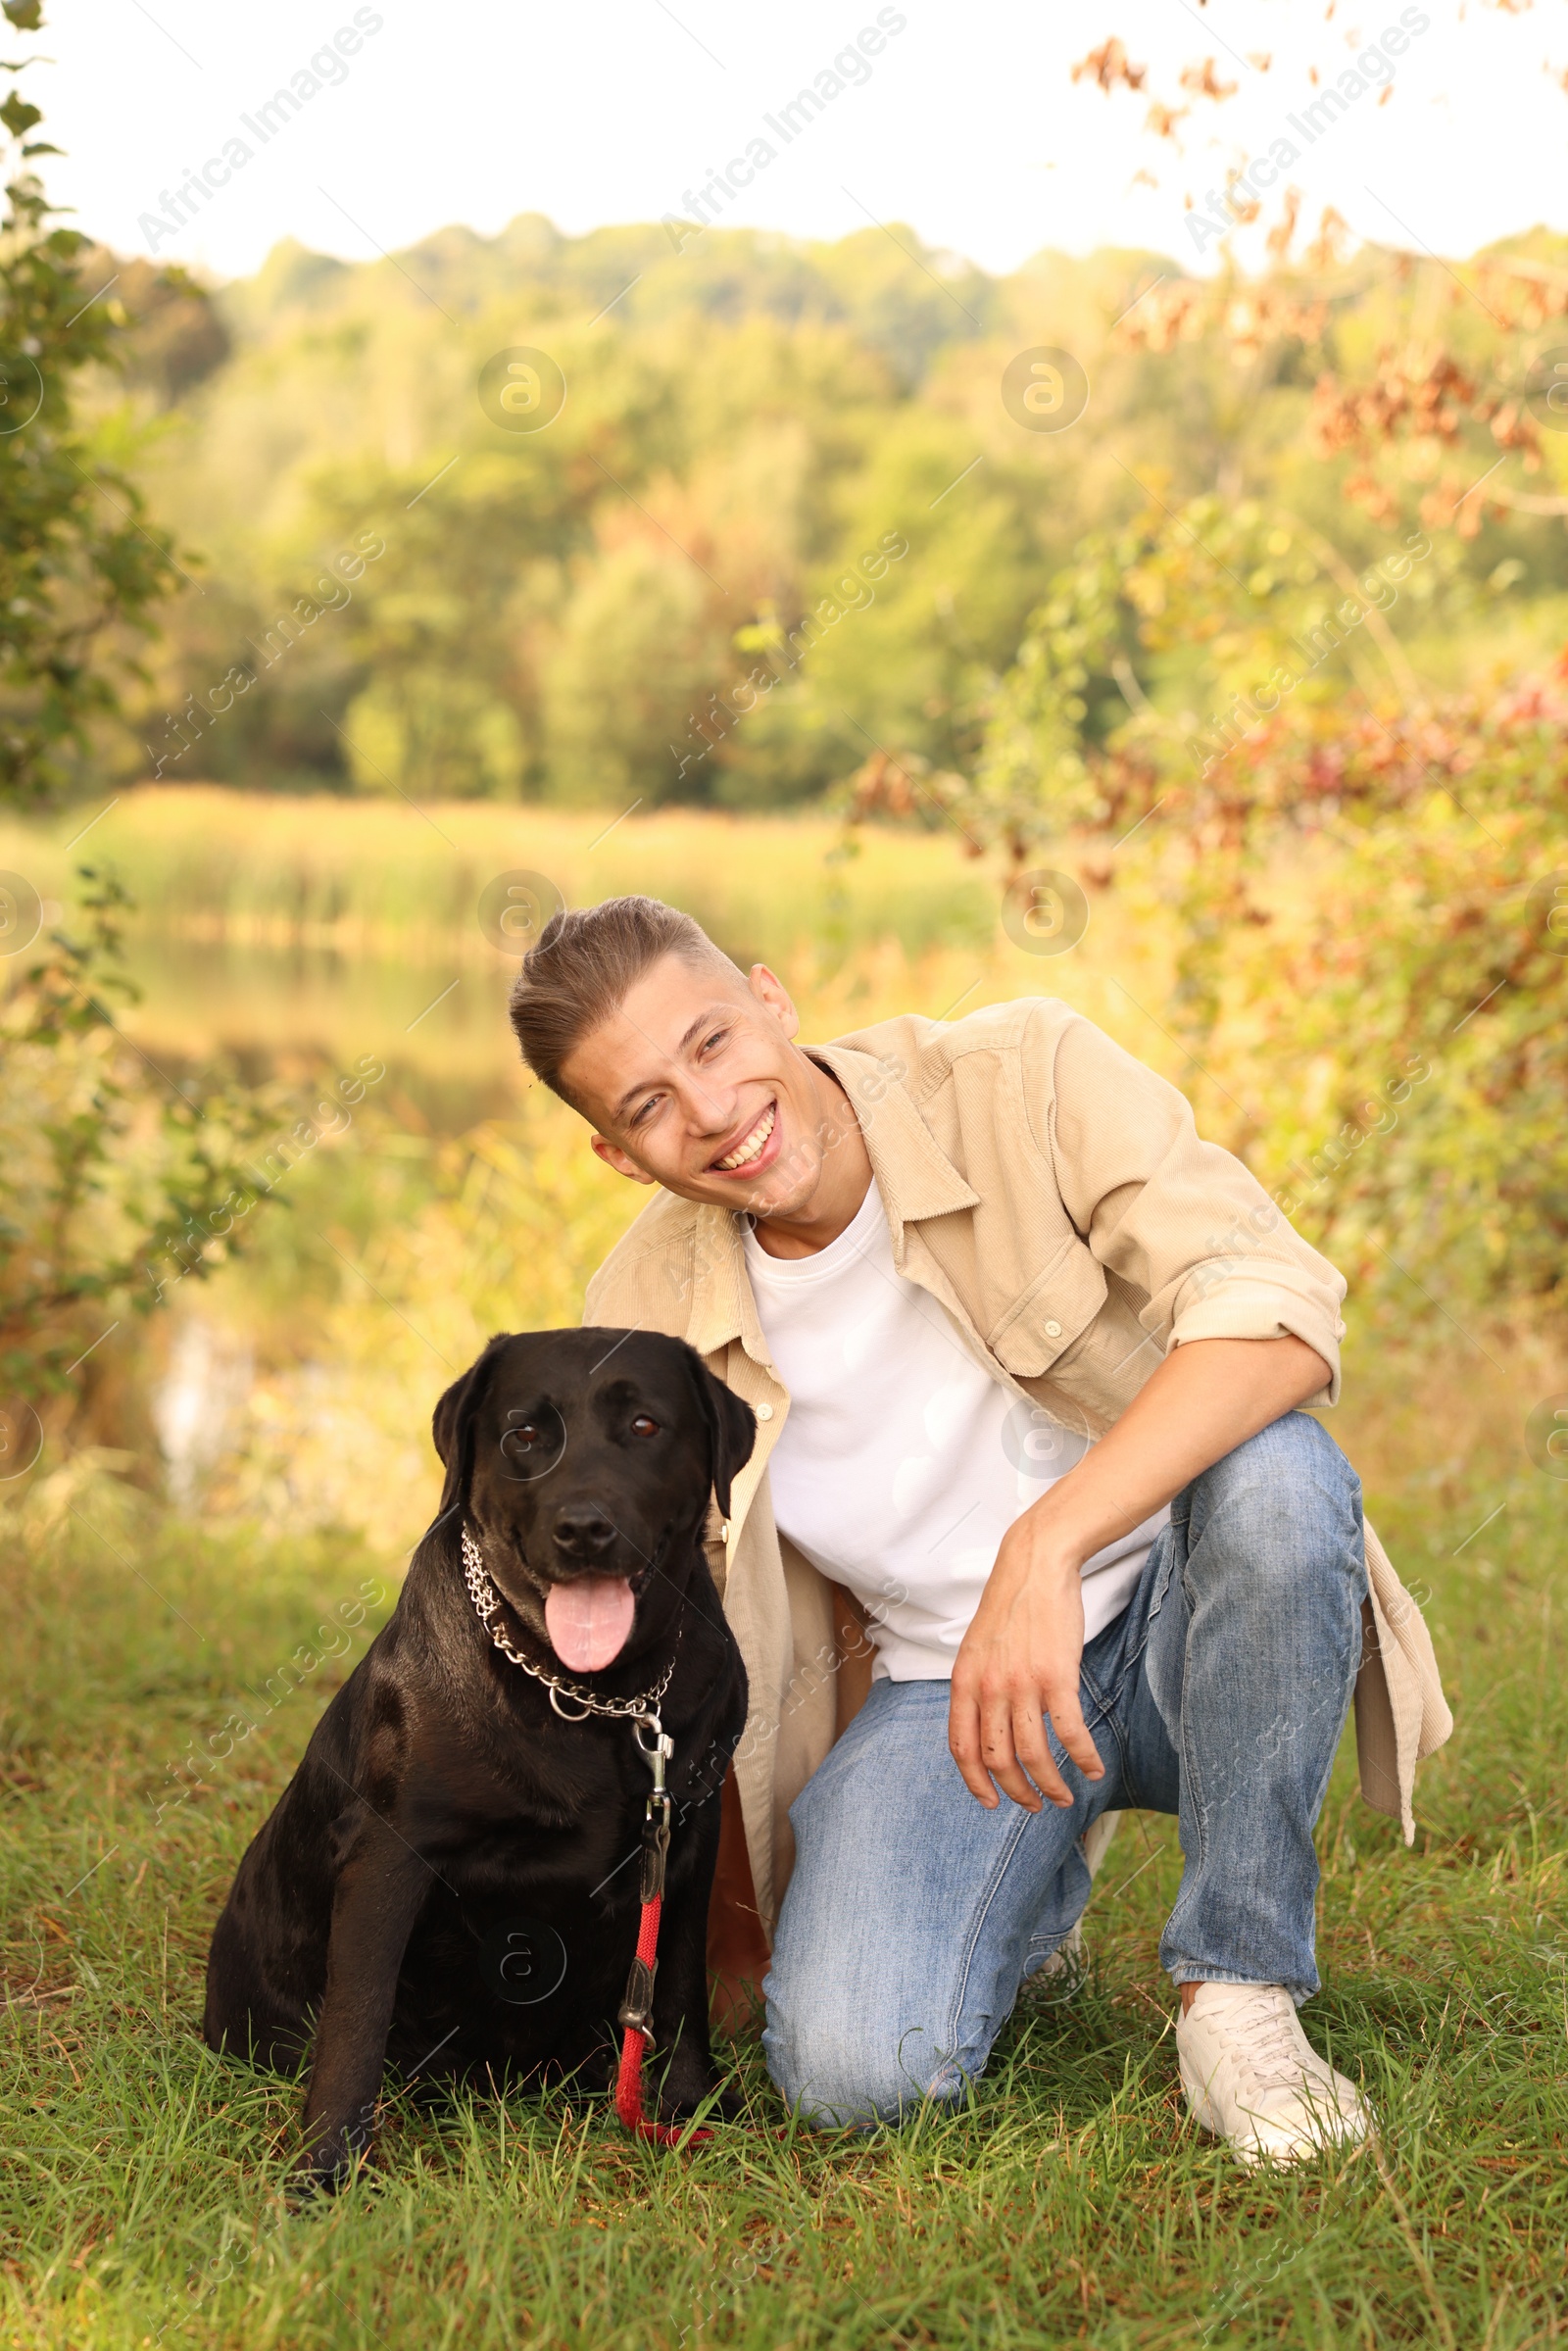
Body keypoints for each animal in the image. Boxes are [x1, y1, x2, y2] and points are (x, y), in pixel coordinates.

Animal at [205, 1326, 757, 2181]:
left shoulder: (688, 1836)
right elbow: (356, 2019)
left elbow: (679, 1986)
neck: (593, 1695)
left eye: (644, 1426)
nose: (583, 1526)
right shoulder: (388, 1856)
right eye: (523, 1435)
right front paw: (328, 2164)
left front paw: (689, 2104)